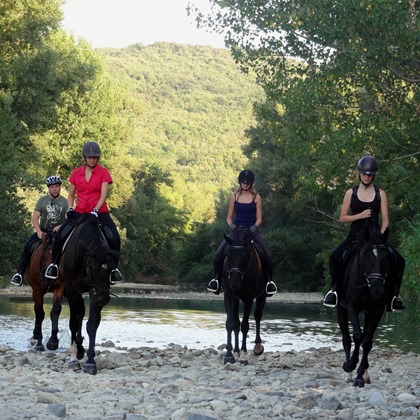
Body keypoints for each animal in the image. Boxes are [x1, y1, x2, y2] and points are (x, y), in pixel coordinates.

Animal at [59, 215, 119, 376]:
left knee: (81, 313)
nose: (104, 299)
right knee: (78, 315)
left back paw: (81, 349)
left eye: (111, 268)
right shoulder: (72, 290)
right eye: (94, 267)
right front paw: (73, 360)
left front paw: (91, 362)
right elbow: (73, 322)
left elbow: (92, 324)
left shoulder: (94, 291)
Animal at [221, 226, 268, 364]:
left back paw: (257, 347)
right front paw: (229, 356)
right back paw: (236, 352)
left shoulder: (248, 298)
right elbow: (231, 323)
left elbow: (245, 325)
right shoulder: (229, 295)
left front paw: (243, 355)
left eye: (246, 255)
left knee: (257, 316)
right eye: (229, 255)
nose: (235, 282)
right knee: (236, 323)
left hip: (262, 295)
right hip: (236, 299)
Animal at [336, 226, 392, 388]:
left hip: (368, 313)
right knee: (346, 338)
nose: (378, 289)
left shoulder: (377, 310)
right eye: (367, 255)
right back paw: (348, 372)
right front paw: (350, 365)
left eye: (385, 257)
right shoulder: (351, 306)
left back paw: (364, 374)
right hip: (341, 309)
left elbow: (367, 341)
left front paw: (360, 376)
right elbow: (357, 336)